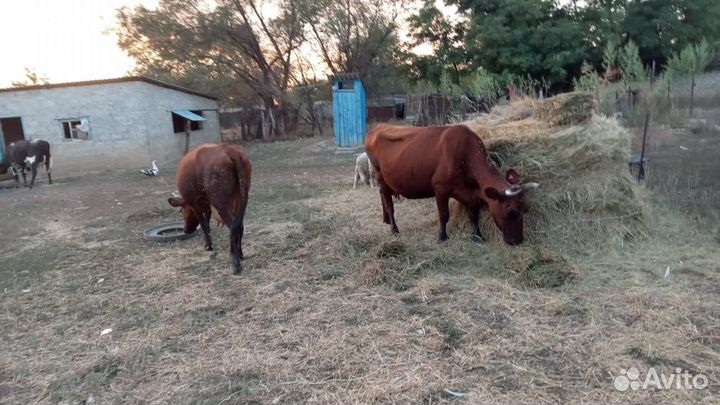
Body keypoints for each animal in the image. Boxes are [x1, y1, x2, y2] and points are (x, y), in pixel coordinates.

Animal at [167, 144, 252, 274]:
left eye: (181, 211)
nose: (185, 230)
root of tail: (228, 149)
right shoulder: (207, 206)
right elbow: (207, 223)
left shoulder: (194, 204)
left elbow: (203, 224)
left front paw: (208, 245)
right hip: (242, 196)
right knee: (240, 225)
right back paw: (240, 254)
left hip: (220, 201)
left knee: (233, 226)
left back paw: (234, 260)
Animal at [365, 124, 540, 245]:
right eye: (510, 211)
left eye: (525, 209)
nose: (518, 241)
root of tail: (377, 128)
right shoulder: (440, 187)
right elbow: (444, 215)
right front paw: (442, 237)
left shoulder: (472, 194)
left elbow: (474, 216)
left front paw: (478, 236)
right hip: (379, 175)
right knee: (389, 203)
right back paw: (394, 229)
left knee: (382, 195)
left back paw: (386, 220)